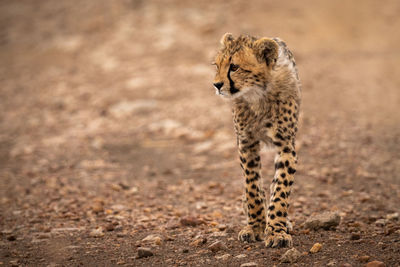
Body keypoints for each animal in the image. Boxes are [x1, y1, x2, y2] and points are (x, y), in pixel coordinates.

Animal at [212, 33, 300, 249]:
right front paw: (256, 227)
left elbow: (281, 188)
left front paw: (276, 230)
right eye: (217, 66)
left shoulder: (286, 146)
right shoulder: (247, 143)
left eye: (234, 67)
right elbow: (252, 187)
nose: (216, 85)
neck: (257, 94)